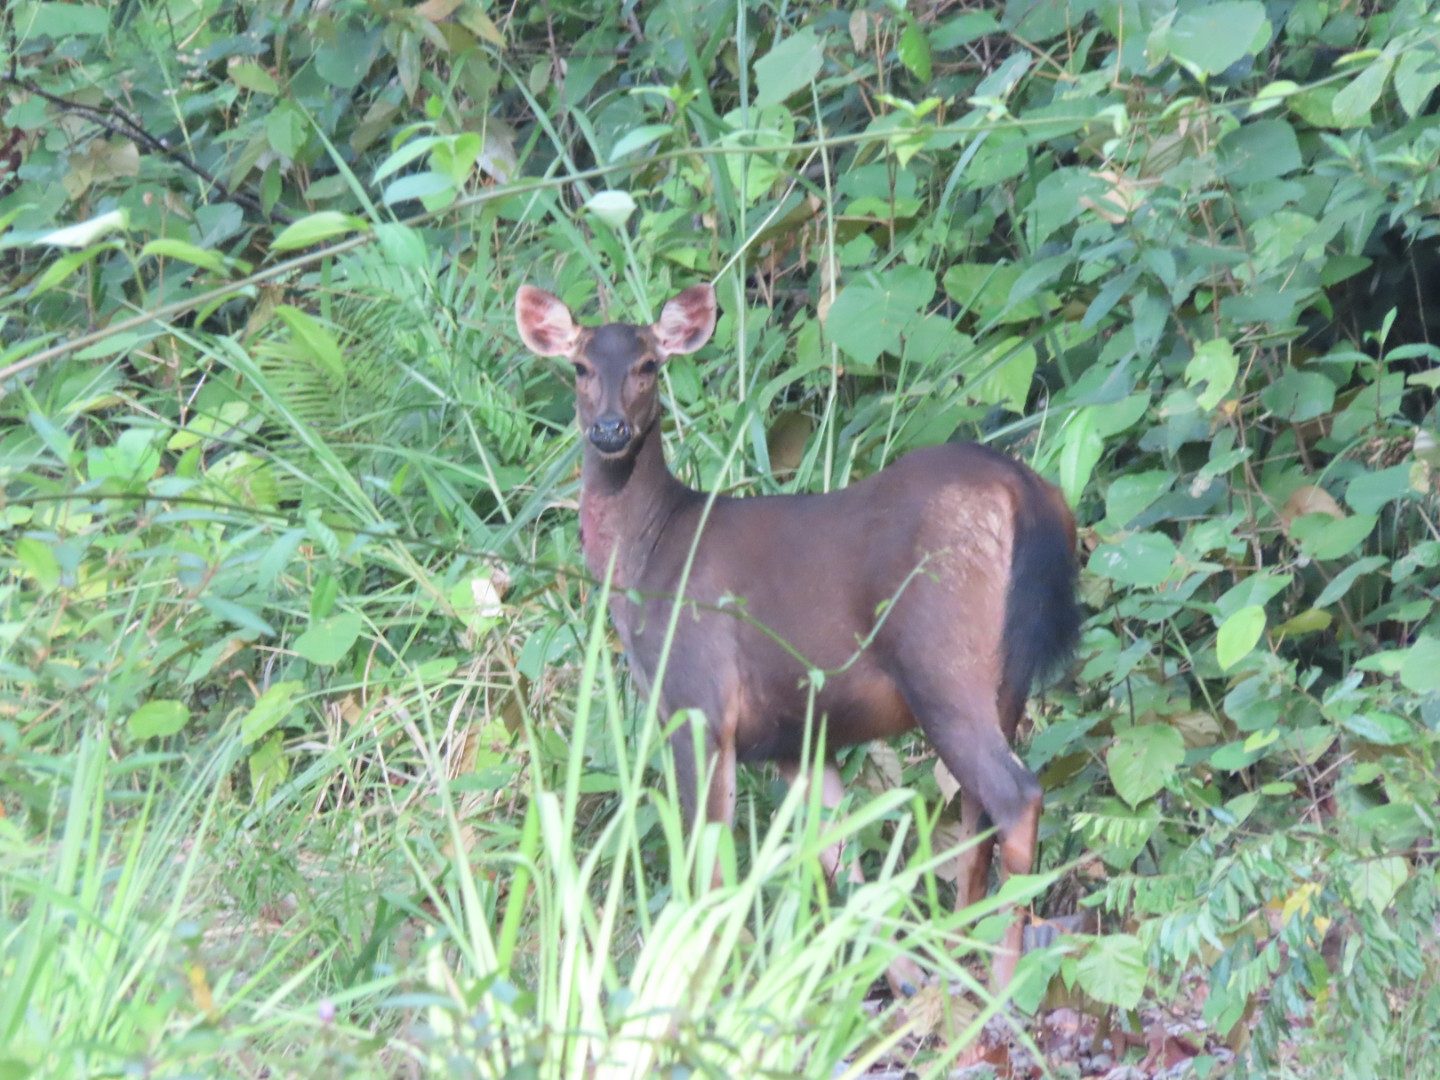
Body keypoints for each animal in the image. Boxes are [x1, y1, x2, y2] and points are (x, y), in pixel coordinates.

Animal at [515, 281, 1080, 995]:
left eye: (648, 365)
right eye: (581, 367)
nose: (610, 429)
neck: (647, 559)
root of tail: (1021, 487)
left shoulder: (697, 699)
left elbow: (710, 865)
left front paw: (709, 986)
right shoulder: (795, 734)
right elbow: (840, 858)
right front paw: (894, 984)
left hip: (938, 660)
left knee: (1015, 796)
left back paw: (1004, 984)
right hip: (1006, 678)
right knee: (976, 811)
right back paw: (957, 962)